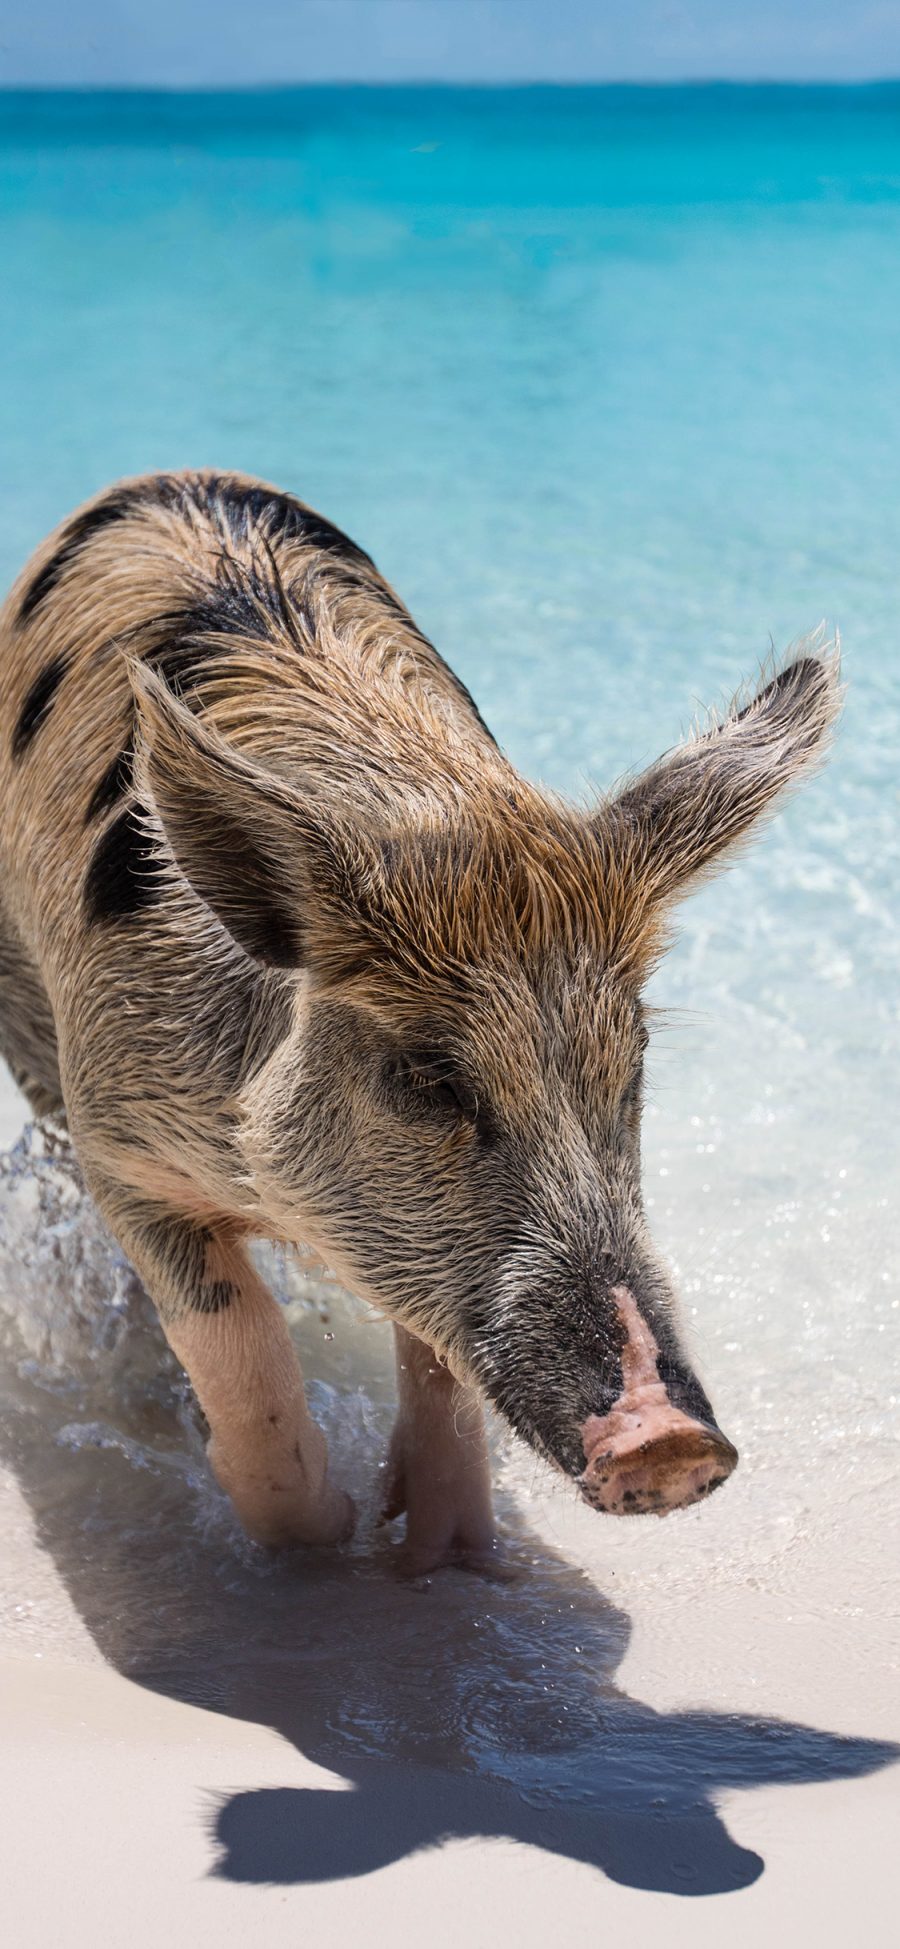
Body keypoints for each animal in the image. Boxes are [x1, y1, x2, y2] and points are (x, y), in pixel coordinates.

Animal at [0, 479, 841, 1574]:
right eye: (430, 1077)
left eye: (632, 1067)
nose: (668, 1440)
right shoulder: (118, 1132)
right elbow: (233, 1329)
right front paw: (325, 1531)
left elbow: (434, 1353)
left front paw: (437, 1549)